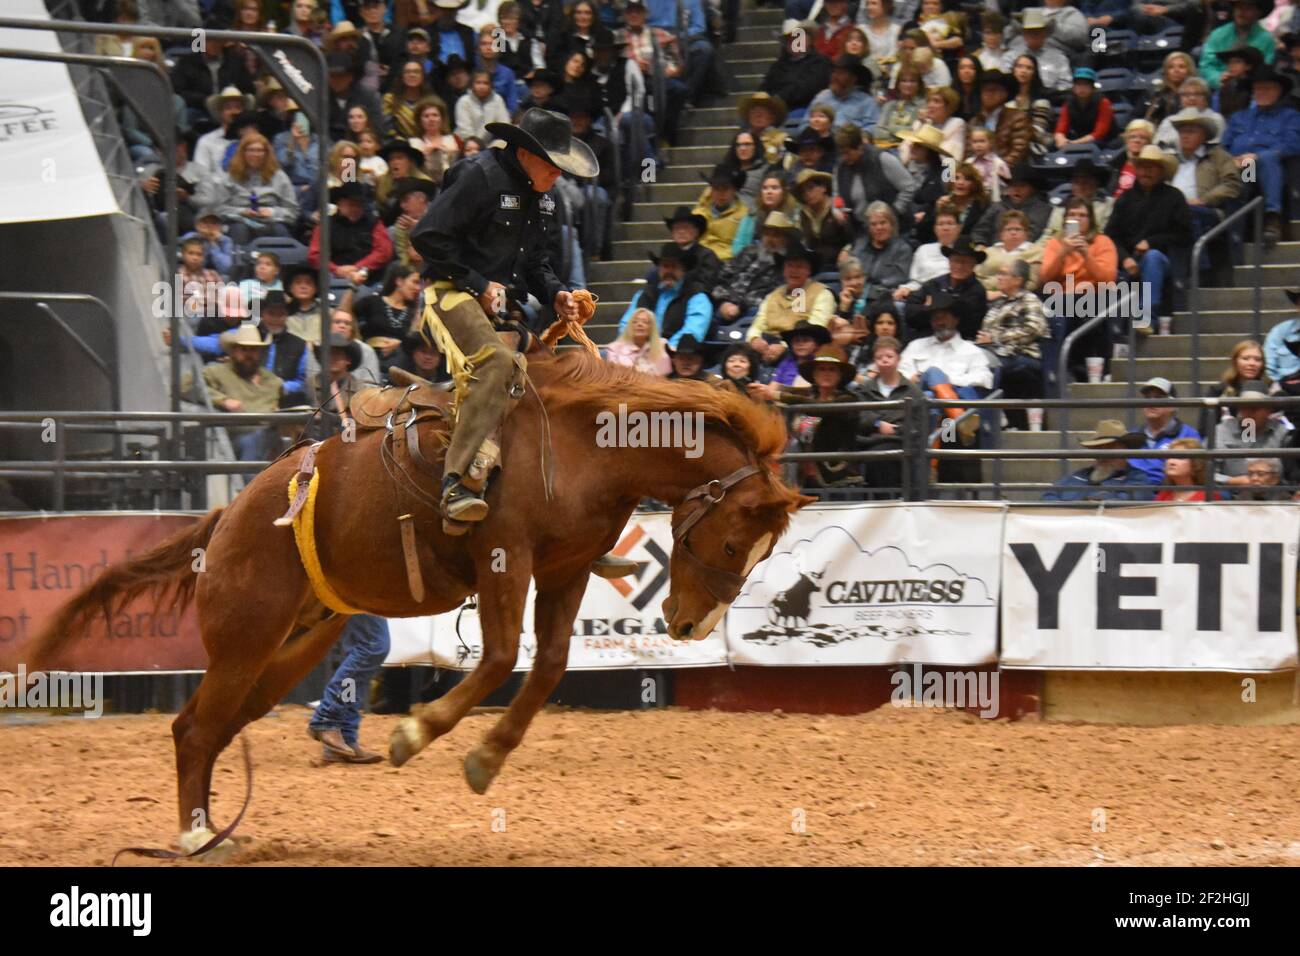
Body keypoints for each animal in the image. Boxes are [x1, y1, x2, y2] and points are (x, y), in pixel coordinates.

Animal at [27, 348, 811, 863]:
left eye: (761, 552)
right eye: (735, 537)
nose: (692, 625)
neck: (586, 447)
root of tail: (228, 516)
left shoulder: (564, 571)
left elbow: (549, 666)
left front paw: (486, 759)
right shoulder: (504, 558)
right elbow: (499, 656)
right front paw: (416, 733)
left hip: (291, 648)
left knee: (213, 726)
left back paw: (216, 827)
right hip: (246, 634)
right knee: (193, 729)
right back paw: (195, 833)